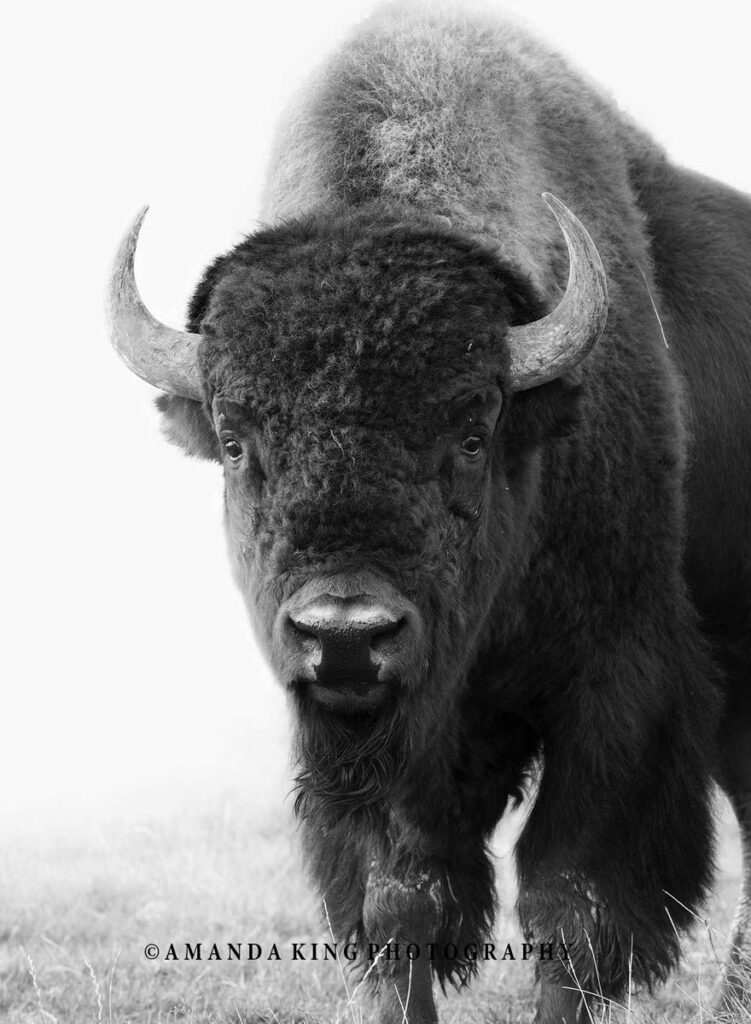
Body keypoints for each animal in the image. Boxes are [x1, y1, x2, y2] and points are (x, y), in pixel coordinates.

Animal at [107, 5, 751, 1023]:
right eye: (237, 440)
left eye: (473, 433)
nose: (345, 635)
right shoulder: (389, 752)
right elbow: (400, 902)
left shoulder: (615, 687)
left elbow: (572, 901)